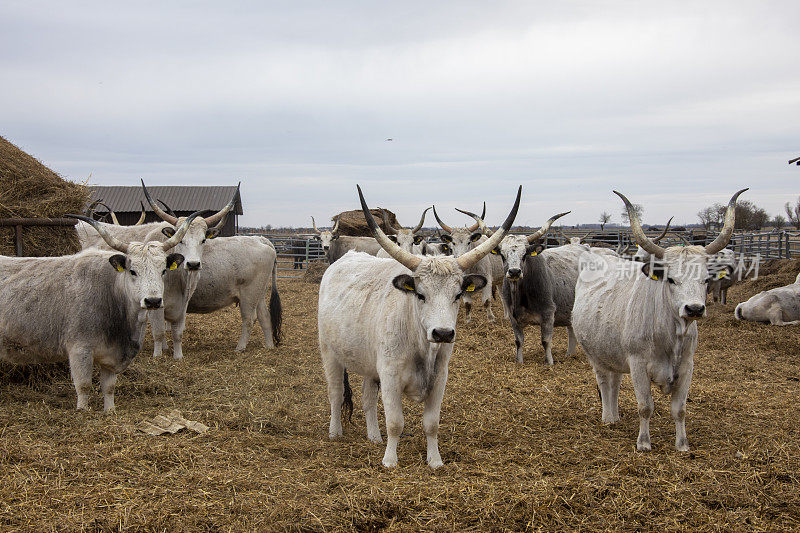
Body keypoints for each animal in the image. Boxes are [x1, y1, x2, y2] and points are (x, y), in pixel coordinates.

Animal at [0, 211, 198, 408]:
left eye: (163, 270)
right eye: (132, 271)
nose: (153, 301)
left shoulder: (111, 356)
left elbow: (109, 387)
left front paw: (110, 410)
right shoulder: (79, 350)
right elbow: (84, 386)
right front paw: (83, 410)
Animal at [572, 187, 748, 448]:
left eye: (705, 280)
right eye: (671, 279)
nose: (694, 309)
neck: (670, 335)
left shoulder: (687, 367)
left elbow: (680, 410)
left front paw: (682, 444)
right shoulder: (637, 365)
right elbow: (645, 407)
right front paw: (644, 443)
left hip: (612, 351)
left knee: (614, 382)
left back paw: (615, 416)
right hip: (595, 354)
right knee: (604, 381)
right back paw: (608, 417)